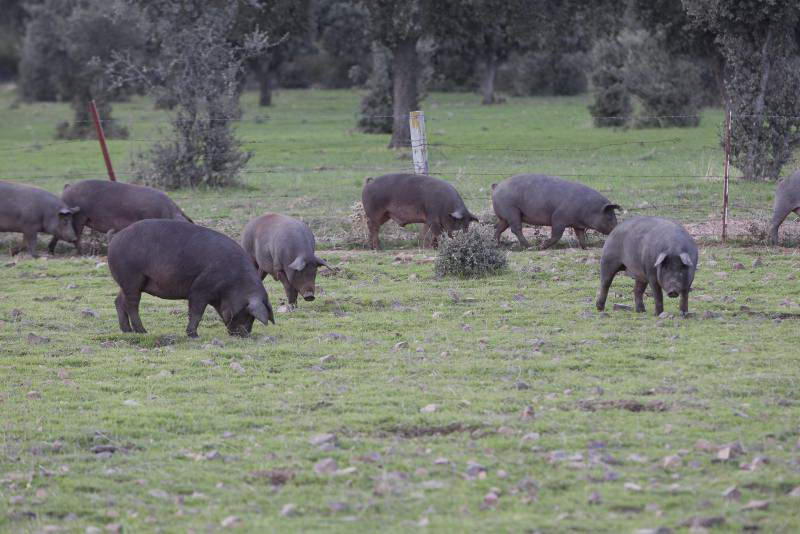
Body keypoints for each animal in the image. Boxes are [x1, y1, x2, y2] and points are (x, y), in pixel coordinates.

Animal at [108, 221, 276, 340]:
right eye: (248, 313)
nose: (245, 334)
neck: (234, 284)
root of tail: (114, 240)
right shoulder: (199, 290)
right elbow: (196, 312)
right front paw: (194, 335)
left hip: (127, 282)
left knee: (118, 301)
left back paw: (127, 330)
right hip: (131, 278)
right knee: (131, 304)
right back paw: (142, 331)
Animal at [490, 176, 620, 251]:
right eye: (609, 216)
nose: (616, 229)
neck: (588, 209)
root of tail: (497, 186)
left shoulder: (578, 225)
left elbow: (581, 236)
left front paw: (586, 248)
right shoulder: (558, 218)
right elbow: (557, 235)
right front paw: (542, 246)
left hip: (505, 217)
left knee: (498, 227)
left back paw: (496, 244)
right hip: (511, 211)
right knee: (515, 229)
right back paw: (530, 247)